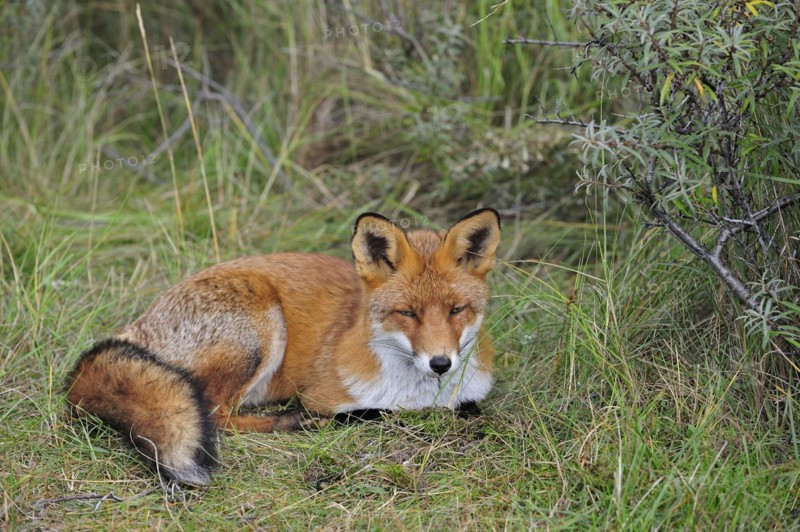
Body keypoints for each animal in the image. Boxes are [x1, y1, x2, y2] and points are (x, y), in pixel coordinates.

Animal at [65, 208, 501, 485]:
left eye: (457, 310)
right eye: (407, 313)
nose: (440, 363)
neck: (418, 393)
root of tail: (139, 324)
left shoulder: (469, 395)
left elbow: (469, 410)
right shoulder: (327, 394)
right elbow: (377, 412)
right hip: (262, 328)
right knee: (215, 414)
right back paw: (293, 420)